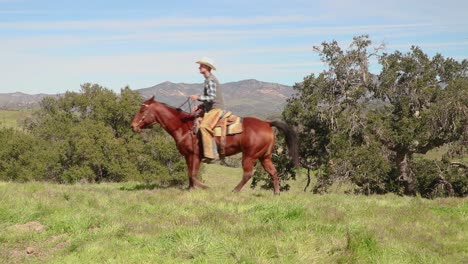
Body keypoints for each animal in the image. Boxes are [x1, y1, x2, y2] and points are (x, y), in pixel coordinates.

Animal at [131, 95, 300, 194]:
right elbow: (189, 173)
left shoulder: (195, 155)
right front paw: (190, 189)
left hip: (249, 155)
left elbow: (192, 174)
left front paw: (204, 187)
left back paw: (234, 191)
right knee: (273, 172)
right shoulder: (188, 156)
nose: (133, 126)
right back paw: (276, 193)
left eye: (142, 111)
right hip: (265, 156)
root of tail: (267, 123)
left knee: (247, 174)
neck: (184, 127)